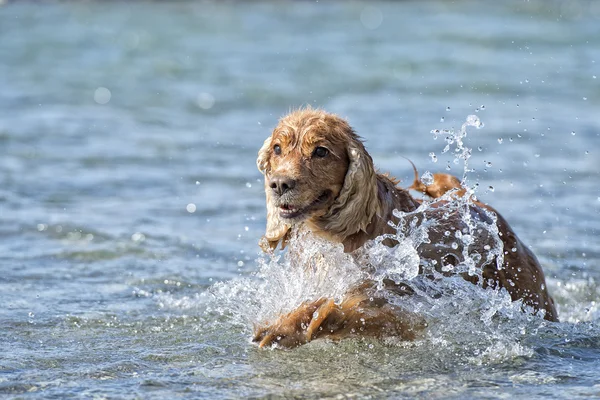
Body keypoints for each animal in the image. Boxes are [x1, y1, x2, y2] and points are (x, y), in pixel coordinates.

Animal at [251, 108, 556, 348]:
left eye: (320, 151)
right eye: (277, 148)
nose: (279, 184)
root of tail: (478, 204)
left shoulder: (402, 309)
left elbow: (347, 308)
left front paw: (292, 326)